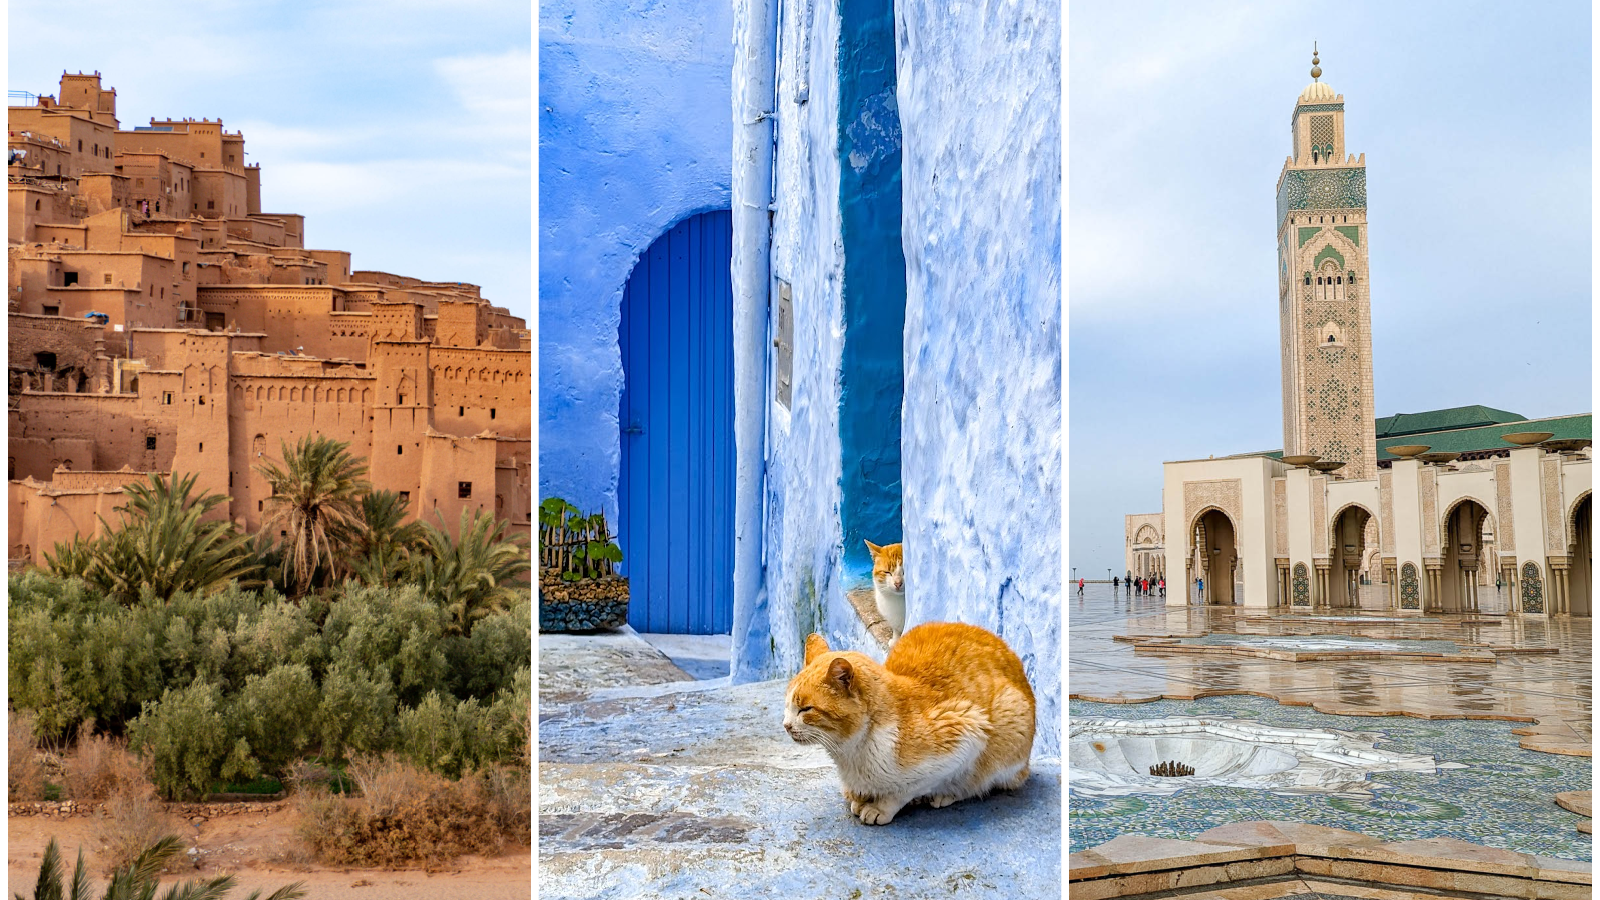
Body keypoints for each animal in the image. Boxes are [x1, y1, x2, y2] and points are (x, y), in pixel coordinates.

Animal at [777, 621, 1030, 826]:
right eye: (787, 704)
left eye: (805, 709)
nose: (786, 725)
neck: (851, 752)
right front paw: (860, 798)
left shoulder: (967, 729)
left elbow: (907, 789)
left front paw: (881, 807)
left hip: (1010, 722)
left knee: (979, 781)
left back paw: (946, 794)